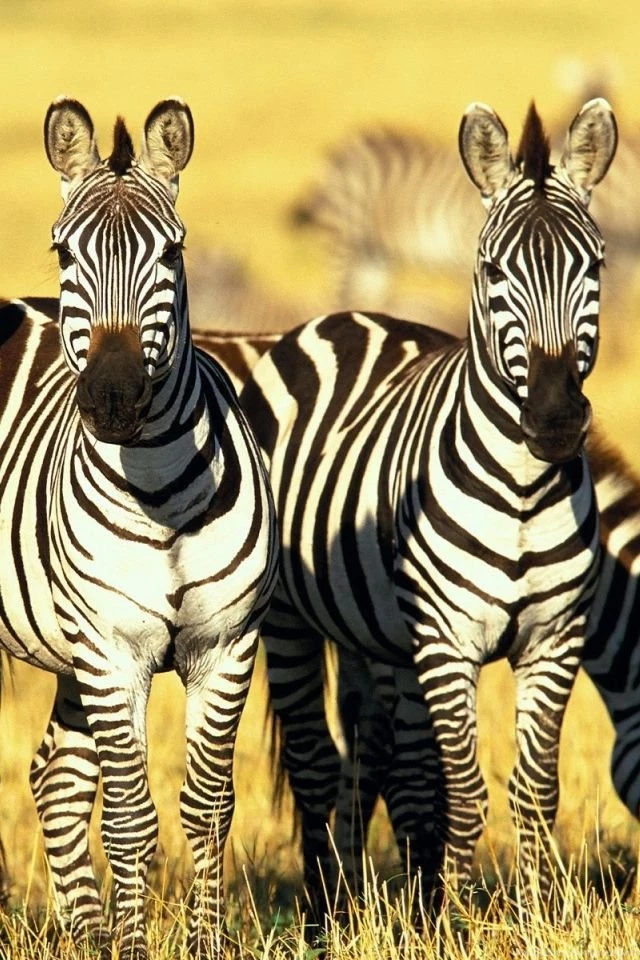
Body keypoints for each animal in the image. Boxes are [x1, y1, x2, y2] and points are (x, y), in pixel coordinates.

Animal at [0, 98, 278, 959]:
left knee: (55, 777)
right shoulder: (110, 648)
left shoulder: (226, 646)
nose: (115, 398)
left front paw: (206, 942)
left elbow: (209, 807)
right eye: (63, 251)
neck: (159, 491)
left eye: (172, 251)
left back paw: (84, 934)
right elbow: (127, 817)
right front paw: (132, 947)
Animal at [239, 98, 617, 916]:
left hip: (372, 634)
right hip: (285, 620)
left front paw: (534, 914)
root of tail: (341, 317)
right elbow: (466, 793)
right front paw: (459, 919)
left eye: (596, 265)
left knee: (371, 754)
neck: (522, 490)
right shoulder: (448, 641)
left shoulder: (554, 639)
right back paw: (324, 915)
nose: (553, 420)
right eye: (493, 269)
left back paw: (364, 904)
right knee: (315, 764)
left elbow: (535, 791)